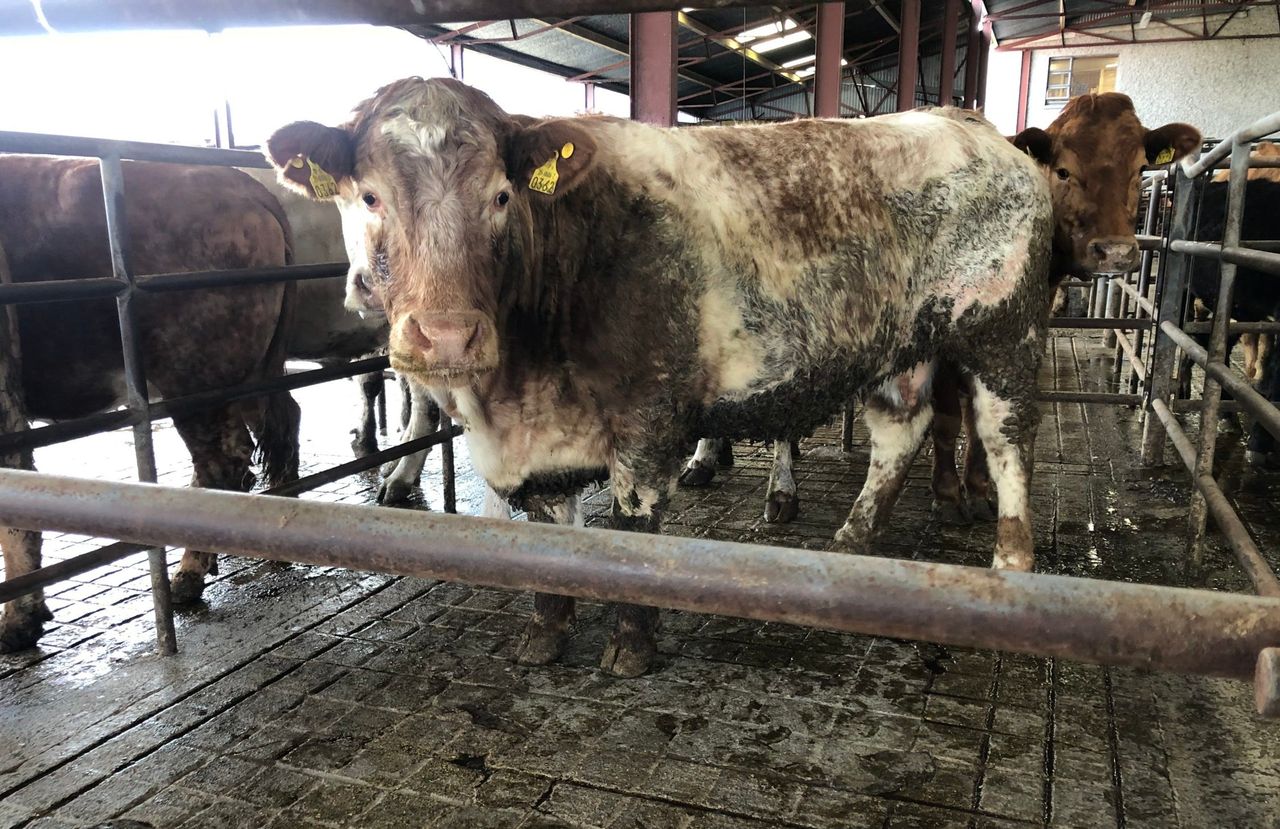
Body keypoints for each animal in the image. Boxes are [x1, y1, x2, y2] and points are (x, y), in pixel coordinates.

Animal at [0, 156, 300, 651]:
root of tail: (242, 185)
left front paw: (18, 620)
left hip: (193, 376)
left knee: (222, 462)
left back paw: (186, 579)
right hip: (248, 373)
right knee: (274, 426)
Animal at [267, 77, 1053, 677]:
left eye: (500, 196)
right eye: (368, 196)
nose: (448, 333)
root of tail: (970, 126)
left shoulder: (649, 411)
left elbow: (632, 524)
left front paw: (630, 645)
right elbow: (551, 532)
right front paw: (545, 632)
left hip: (1002, 329)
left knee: (1007, 434)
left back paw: (1011, 564)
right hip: (902, 340)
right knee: (902, 427)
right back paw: (853, 544)